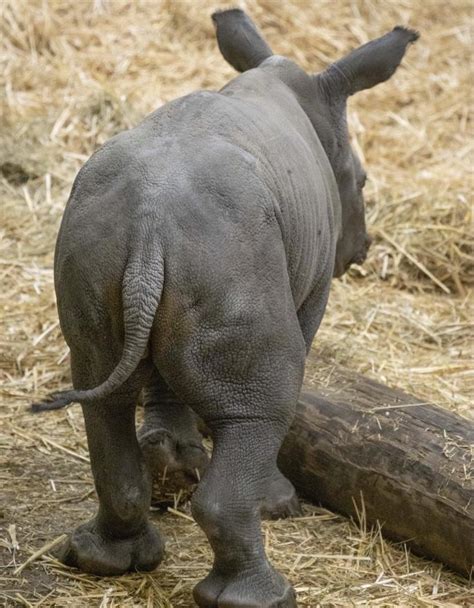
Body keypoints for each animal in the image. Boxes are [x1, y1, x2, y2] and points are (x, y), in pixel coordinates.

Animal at [34, 9, 418, 608]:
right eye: (363, 181)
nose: (361, 250)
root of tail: (149, 224)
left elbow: (165, 379)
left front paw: (174, 459)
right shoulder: (310, 285)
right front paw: (272, 502)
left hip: (104, 233)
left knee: (101, 388)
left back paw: (105, 556)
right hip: (230, 248)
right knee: (265, 398)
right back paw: (266, 591)